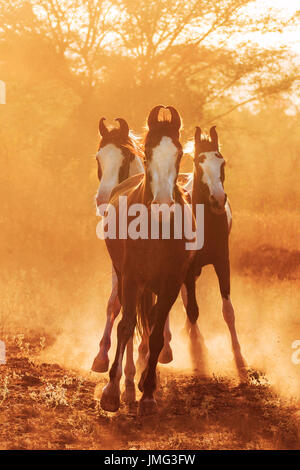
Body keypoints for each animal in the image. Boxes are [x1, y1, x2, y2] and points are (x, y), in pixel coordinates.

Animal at [99, 104, 196, 414]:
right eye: (147, 152)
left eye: (179, 152)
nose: (163, 204)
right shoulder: (130, 278)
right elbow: (126, 326)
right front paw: (111, 392)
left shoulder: (171, 284)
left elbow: (154, 335)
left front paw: (149, 391)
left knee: (152, 323)